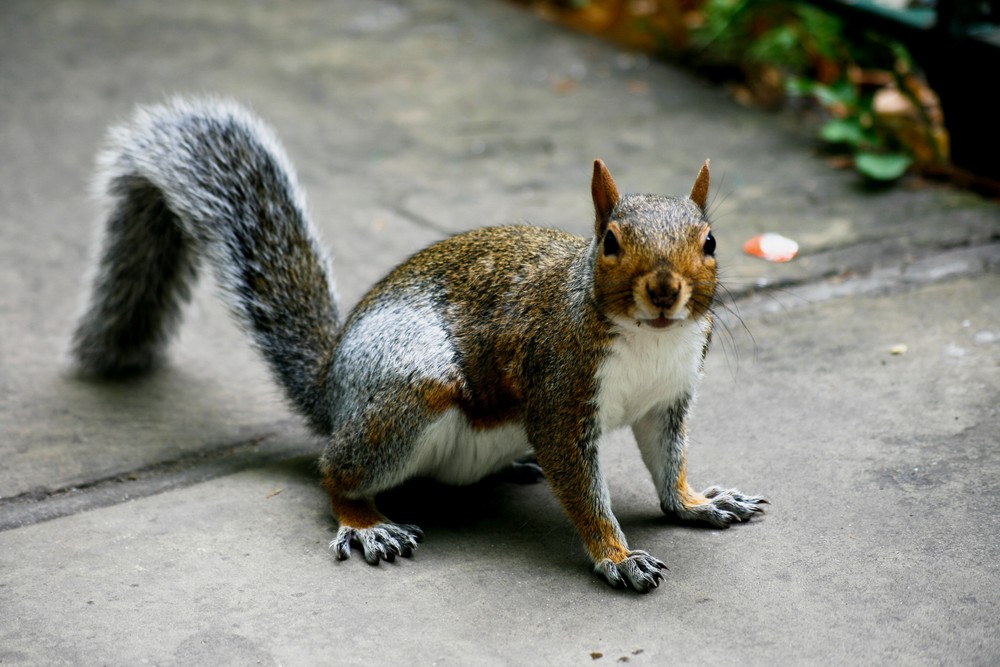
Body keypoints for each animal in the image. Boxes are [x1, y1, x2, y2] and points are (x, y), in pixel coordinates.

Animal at [74, 96, 768, 592]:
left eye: (710, 241)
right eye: (610, 243)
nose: (664, 290)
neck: (649, 340)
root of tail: (332, 390)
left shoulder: (668, 399)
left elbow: (668, 462)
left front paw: (699, 502)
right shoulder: (559, 392)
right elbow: (582, 487)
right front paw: (616, 557)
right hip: (411, 387)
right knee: (334, 469)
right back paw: (366, 523)